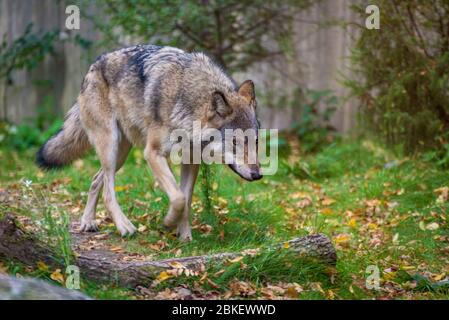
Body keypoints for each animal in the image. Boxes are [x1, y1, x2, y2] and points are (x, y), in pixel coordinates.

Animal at [37, 44, 262, 240]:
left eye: (257, 141)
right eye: (235, 142)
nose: (258, 175)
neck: (186, 101)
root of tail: (94, 65)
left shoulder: (191, 161)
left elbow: (186, 199)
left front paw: (185, 236)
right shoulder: (152, 153)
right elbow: (178, 199)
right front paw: (169, 222)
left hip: (121, 154)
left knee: (95, 179)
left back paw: (88, 221)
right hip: (111, 145)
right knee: (108, 192)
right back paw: (124, 226)